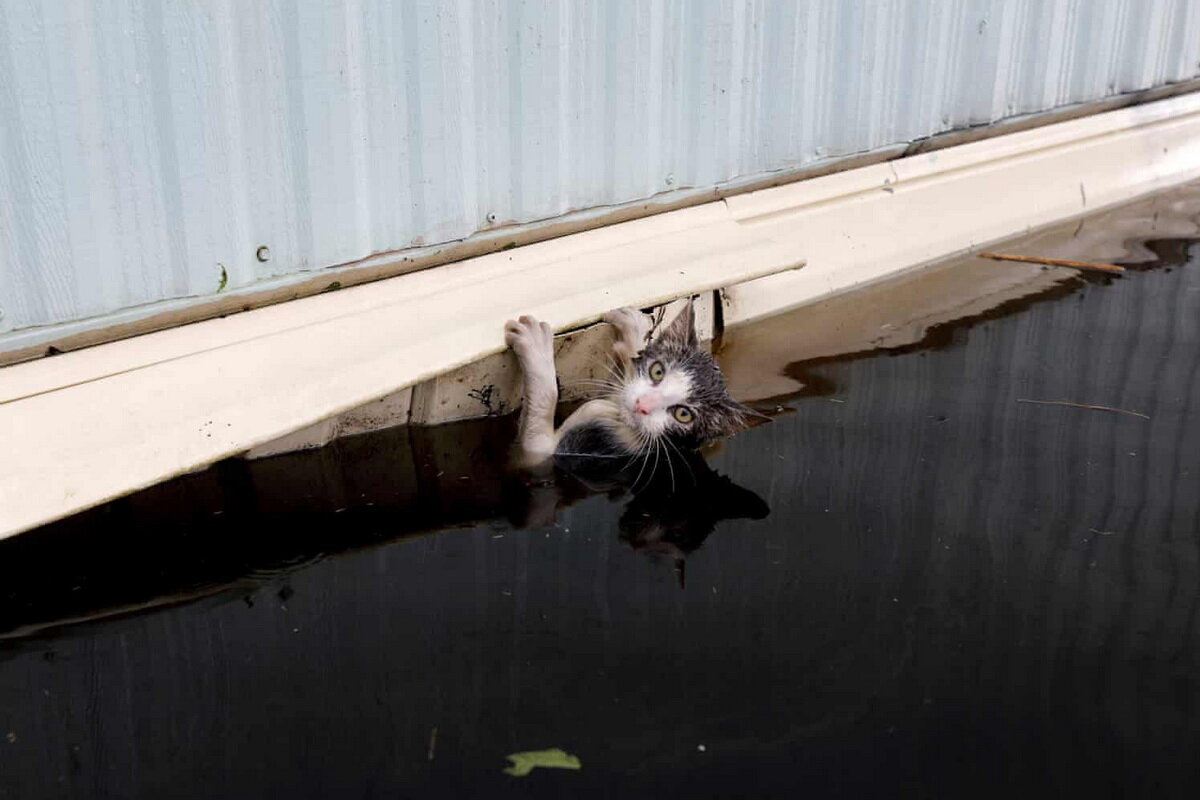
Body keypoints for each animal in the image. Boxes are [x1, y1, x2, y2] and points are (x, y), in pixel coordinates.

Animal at [501, 303, 753, 472]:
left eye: (683, 414)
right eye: (657, 371)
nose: (643, 405)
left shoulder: (549, 454)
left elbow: (537, 429)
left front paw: (534, 345)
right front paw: (633, 330)